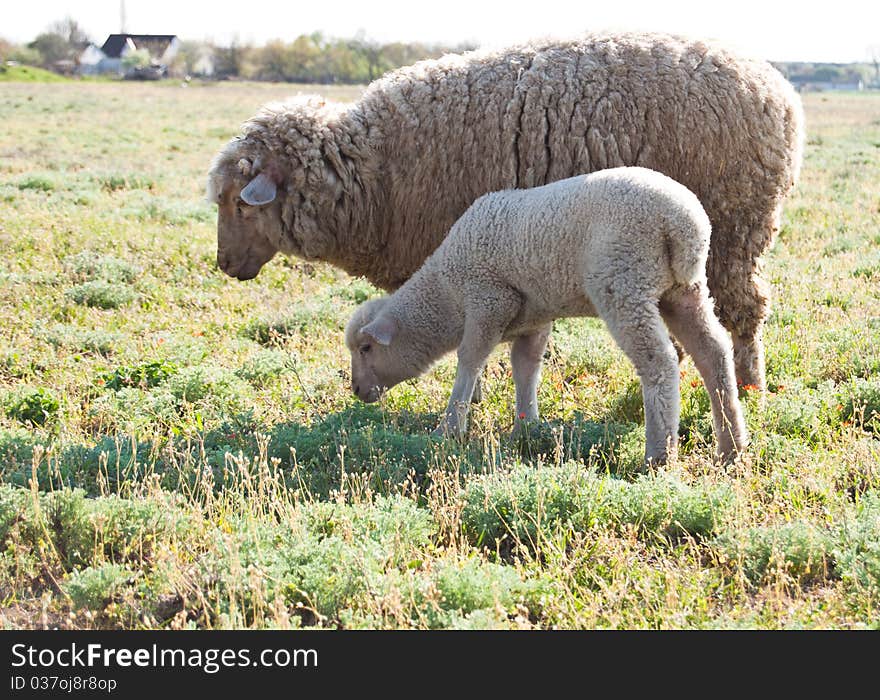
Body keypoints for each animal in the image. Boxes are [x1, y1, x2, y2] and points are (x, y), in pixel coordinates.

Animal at [208, 31, 804, 388]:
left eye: (240, 204)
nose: (224, 266)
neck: (370, 170)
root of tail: (779, 89)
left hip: (736, 230)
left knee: (747, 309)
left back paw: (751, 383)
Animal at [344, 167, 748, 464]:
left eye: (365, 348)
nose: (357, 390)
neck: (446, 292)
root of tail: (684, 224)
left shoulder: (488, 299)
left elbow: (470, 360)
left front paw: (450, 428)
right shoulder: (532, 319)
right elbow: (525, 367)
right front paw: (525, 428)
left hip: (623, 283)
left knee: (659, 362)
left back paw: (659, 454)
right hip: (682, 289)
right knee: (713, 352)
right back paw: (731, 447)